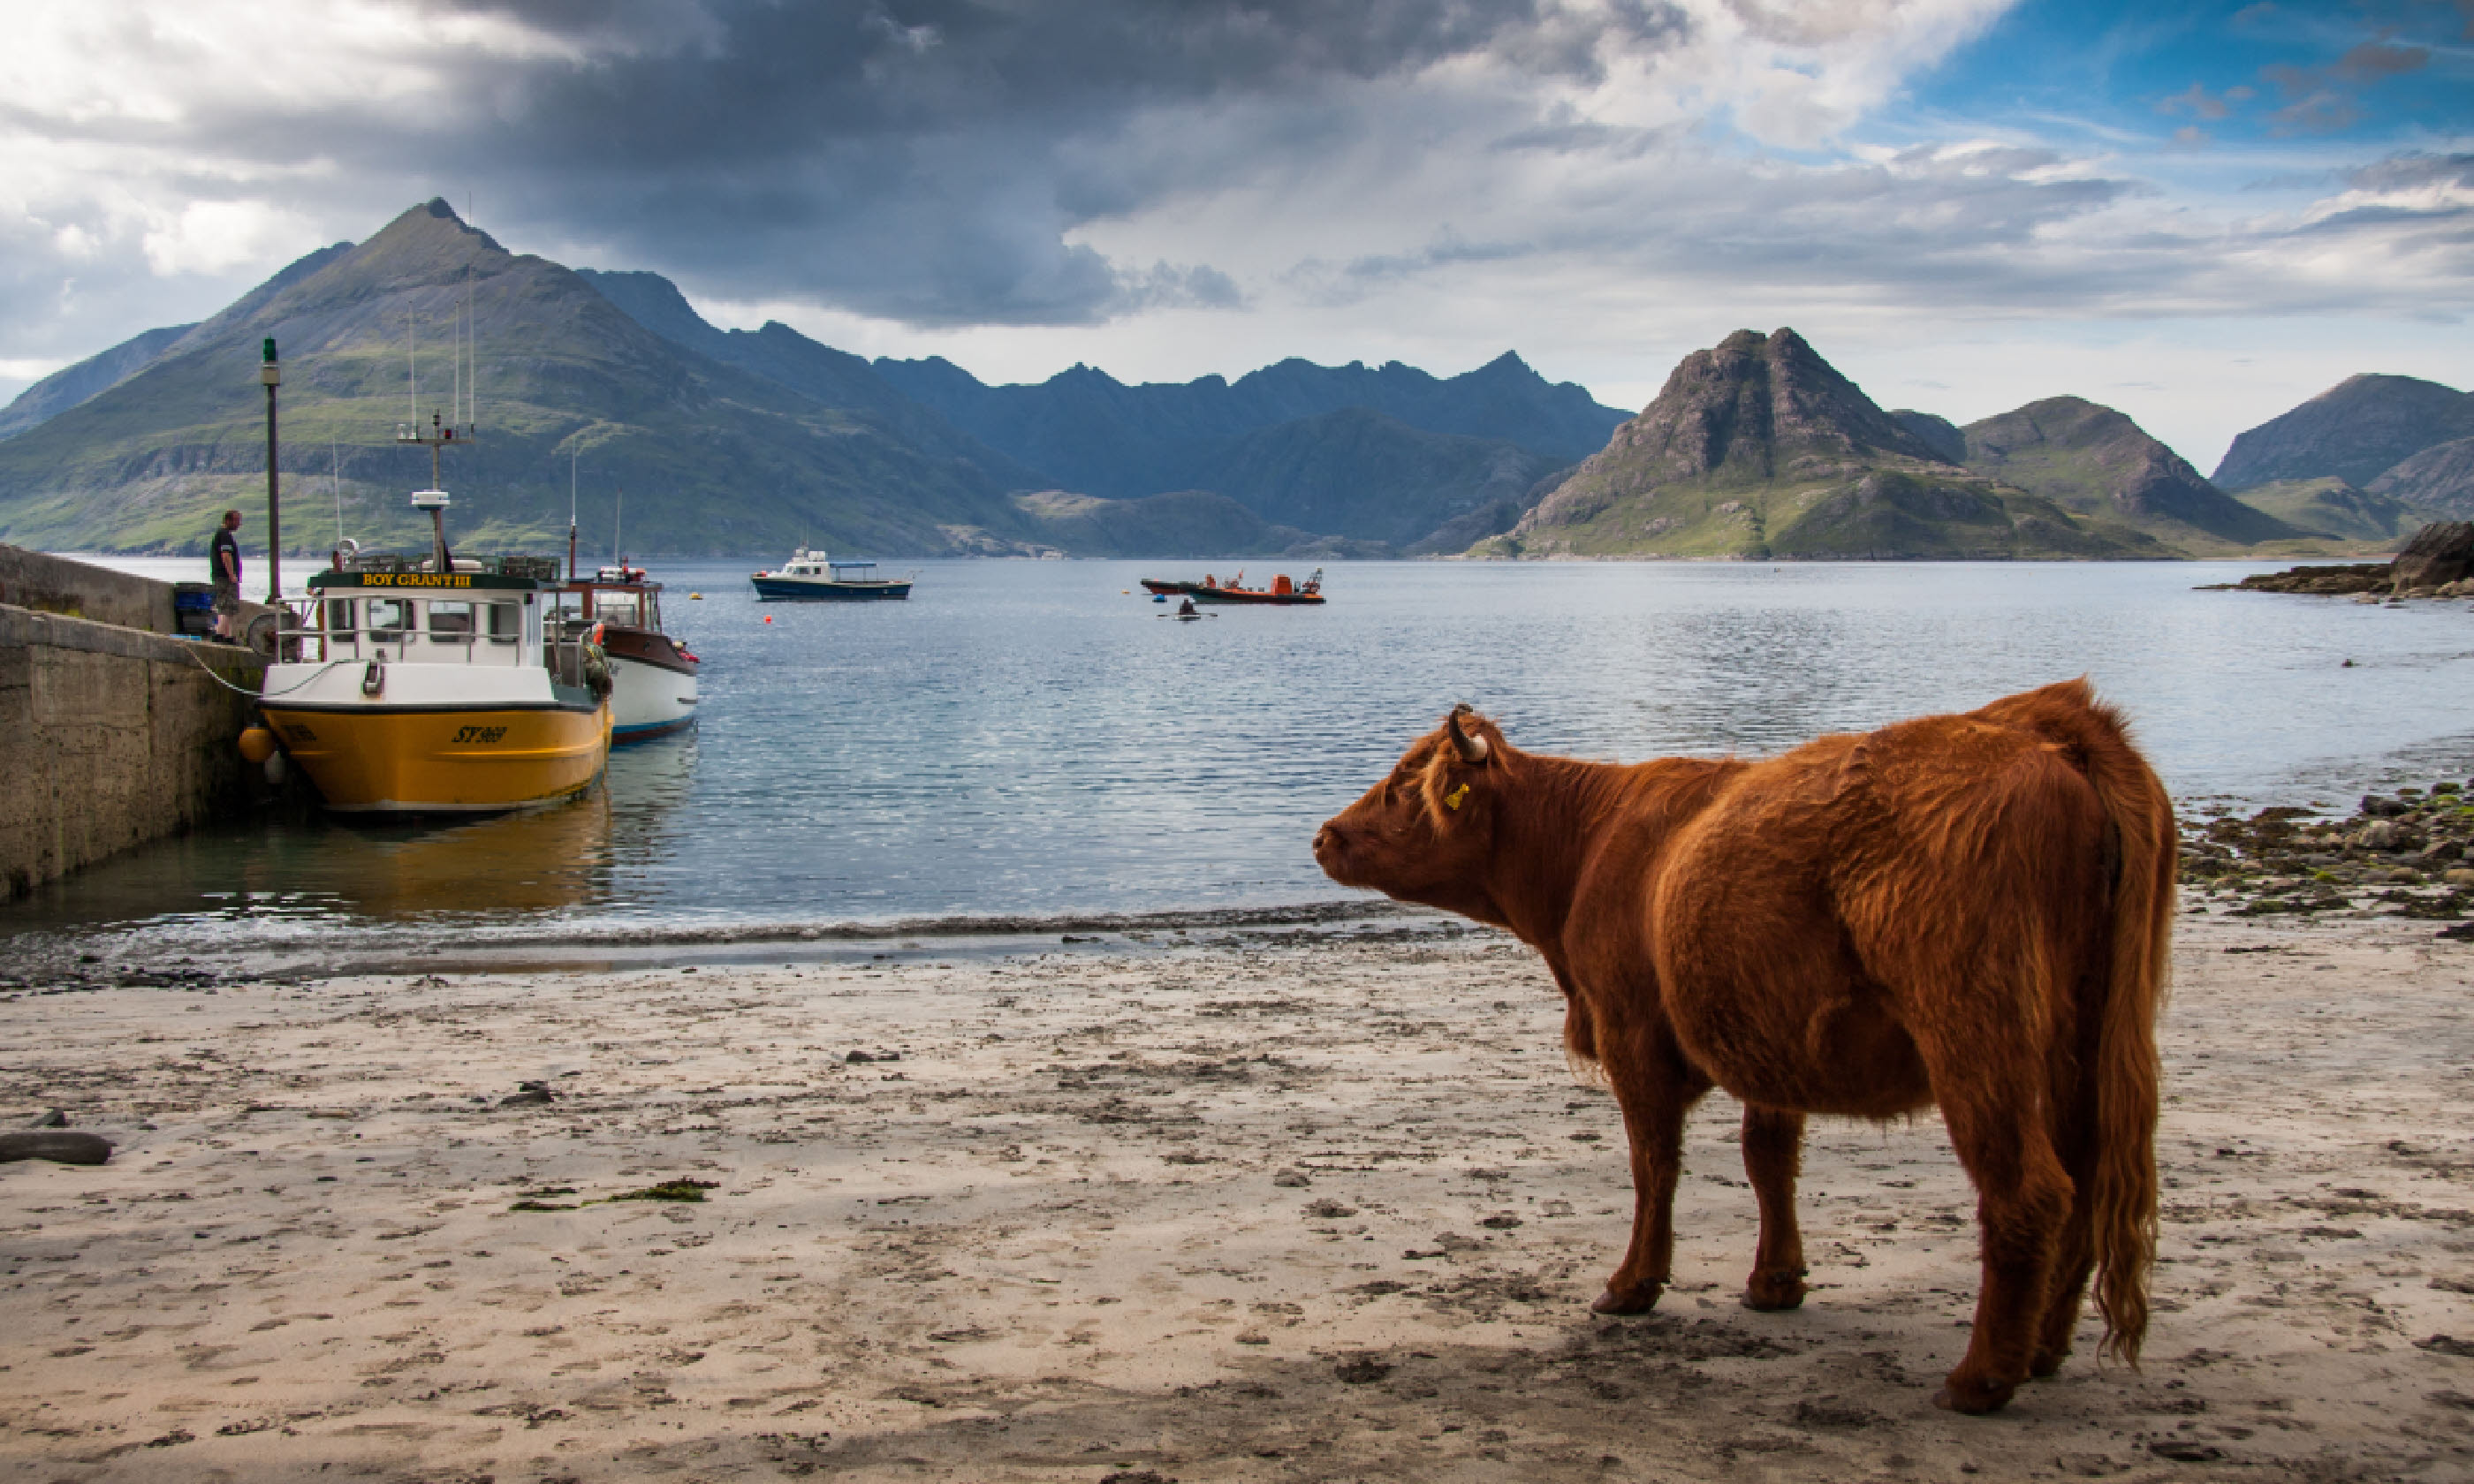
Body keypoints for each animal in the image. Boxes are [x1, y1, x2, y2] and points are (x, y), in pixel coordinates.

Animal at [1316, 682, 2167, 1414]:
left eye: (1401, 786)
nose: (1324, 835)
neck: (1586, 845)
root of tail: (2046, 725)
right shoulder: (1769, 1037)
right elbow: (1769, 1160)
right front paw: (1775, 1282)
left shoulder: (1632, 1033)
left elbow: (1652, 1163)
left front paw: (1633, 1285)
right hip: (2085, 1042)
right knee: (2088, 1181)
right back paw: (2044, 1349)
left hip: (1976, 1035)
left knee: (2029, 1190)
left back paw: (1981, 1378)